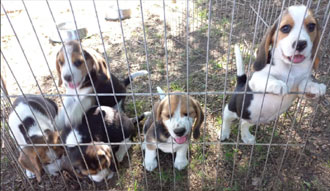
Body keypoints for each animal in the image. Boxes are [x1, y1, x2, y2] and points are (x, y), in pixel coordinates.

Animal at [219, 4, 324, 143]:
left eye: (311, 26)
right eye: (285, 28)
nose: (300, 43)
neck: (290, 67)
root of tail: (241, 84)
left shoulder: (300, 86)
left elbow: (304, 84)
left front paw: (315, 86)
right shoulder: (256, 78)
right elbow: (267, 78)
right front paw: (278, 85)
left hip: (253, 118)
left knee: (244, 124)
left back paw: (246, 137)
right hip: (233, 108)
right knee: (226, 116)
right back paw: (224, 132)